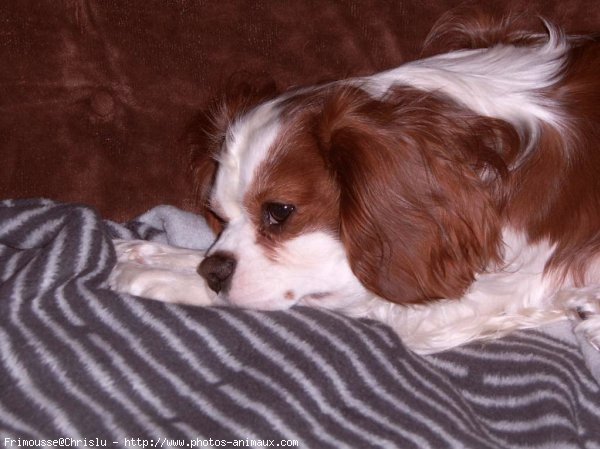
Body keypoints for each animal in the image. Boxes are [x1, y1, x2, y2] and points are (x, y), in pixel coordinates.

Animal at [110, 14, 600, 354]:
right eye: (216, 215)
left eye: (279, 212)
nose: (213, 272)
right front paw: (164, 254)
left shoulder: (496, 289)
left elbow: (350, 292)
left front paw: (160, 276)